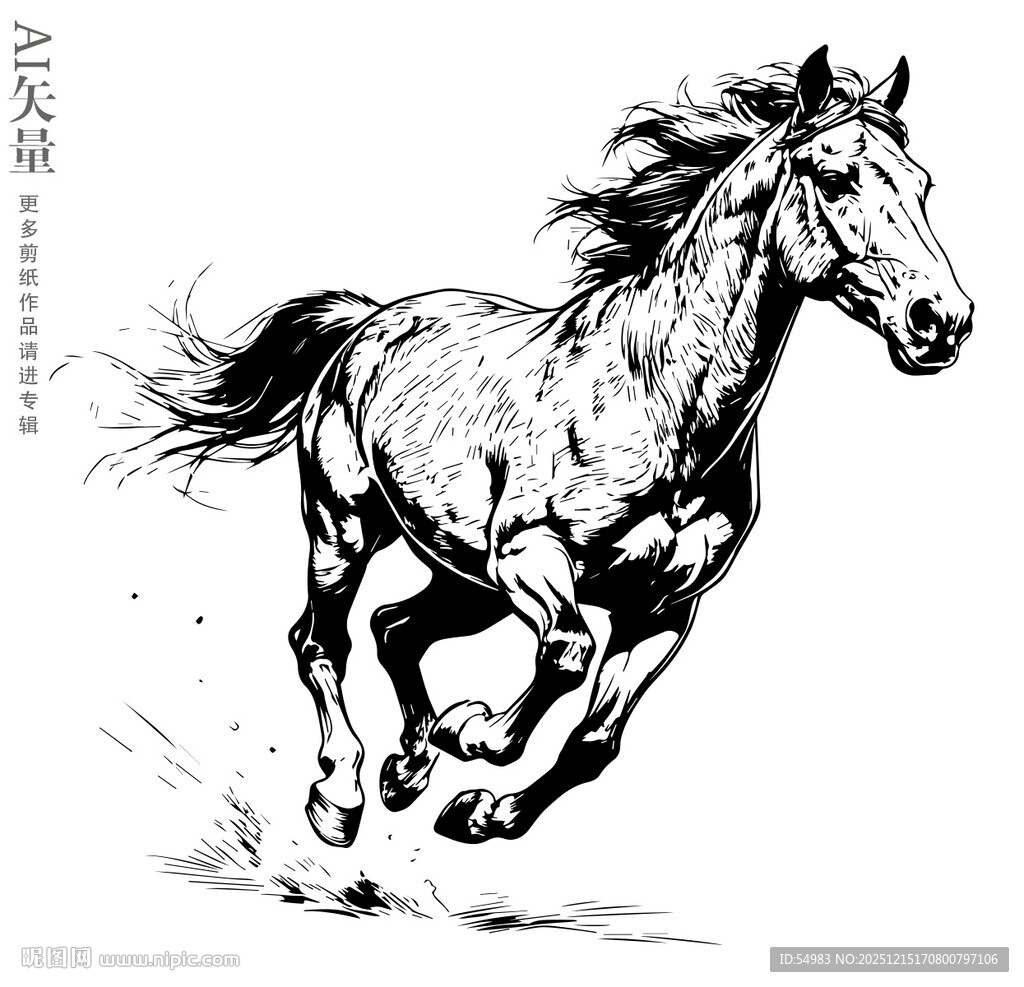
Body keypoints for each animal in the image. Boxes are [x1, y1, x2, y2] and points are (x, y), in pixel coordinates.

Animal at [107, 46, 972, 846]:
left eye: (922, 185)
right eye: (835, 179)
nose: (942, 320)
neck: (661, 404)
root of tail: (365, 321)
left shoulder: (662, 609)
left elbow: (594, 740)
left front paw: (478, 808)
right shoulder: (530, 554)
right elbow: (565, 652)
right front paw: (474, 731)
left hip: (467, 579)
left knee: (395, 627)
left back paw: (407, 768)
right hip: (348, 528)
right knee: (322, 639)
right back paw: (342, 793)